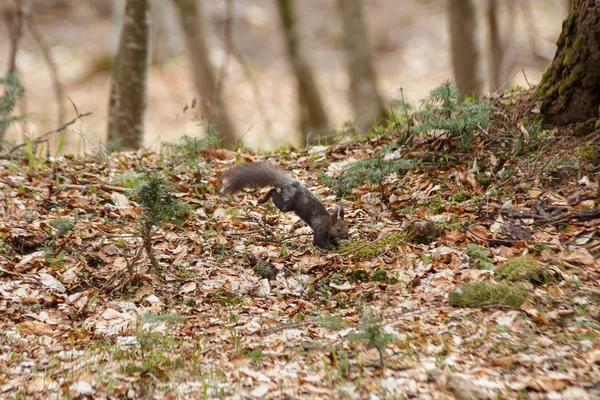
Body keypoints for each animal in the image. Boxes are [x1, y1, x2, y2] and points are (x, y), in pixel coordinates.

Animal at [221, 161, 350, 248]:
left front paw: (337, 245)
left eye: (347, 227)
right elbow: (318, 240)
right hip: (286, 204)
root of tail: (289, 183)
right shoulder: (320, 228)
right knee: (273, 191)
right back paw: (264, 199)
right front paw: (328, 247)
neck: (328, 223)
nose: (347, 236)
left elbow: (332, 239)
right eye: (338, 229)